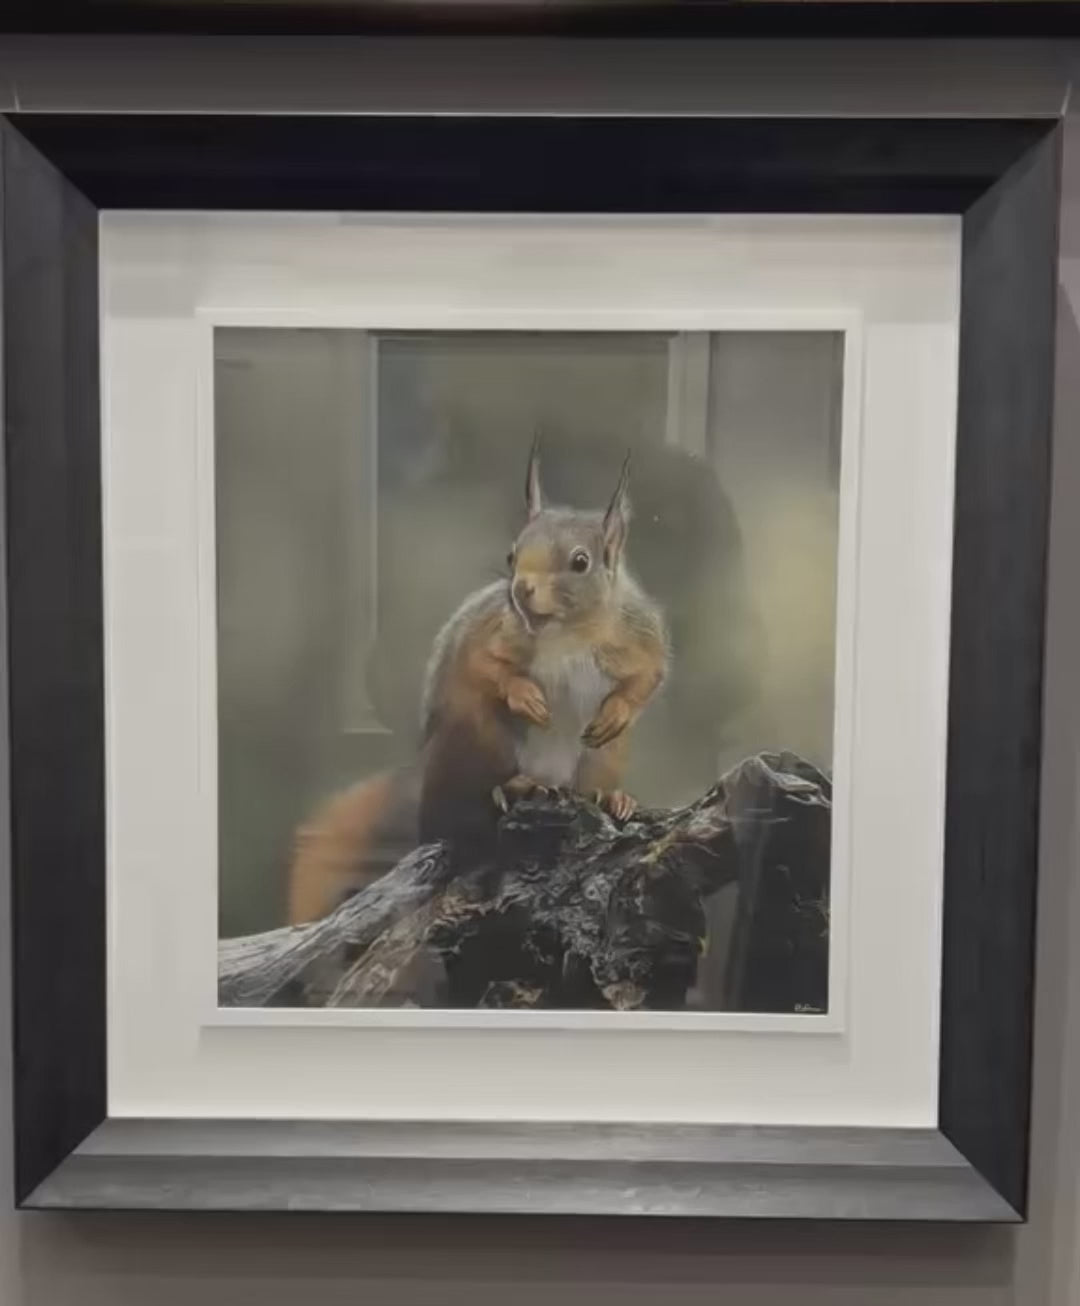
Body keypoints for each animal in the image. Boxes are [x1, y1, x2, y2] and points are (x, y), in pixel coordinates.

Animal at [286, 442, 670, 926]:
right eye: (511, 555)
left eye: (580, 562)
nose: (521, 589)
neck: (565, 634)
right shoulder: (489, 634)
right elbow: (484, 667)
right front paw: (526, 696)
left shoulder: (640, 635)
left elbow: (649, 676)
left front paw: (617, 712)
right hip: (483, 740)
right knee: (464, 811)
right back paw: (518, 787)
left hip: (601, 758)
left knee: (586, 785)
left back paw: (612, 798)